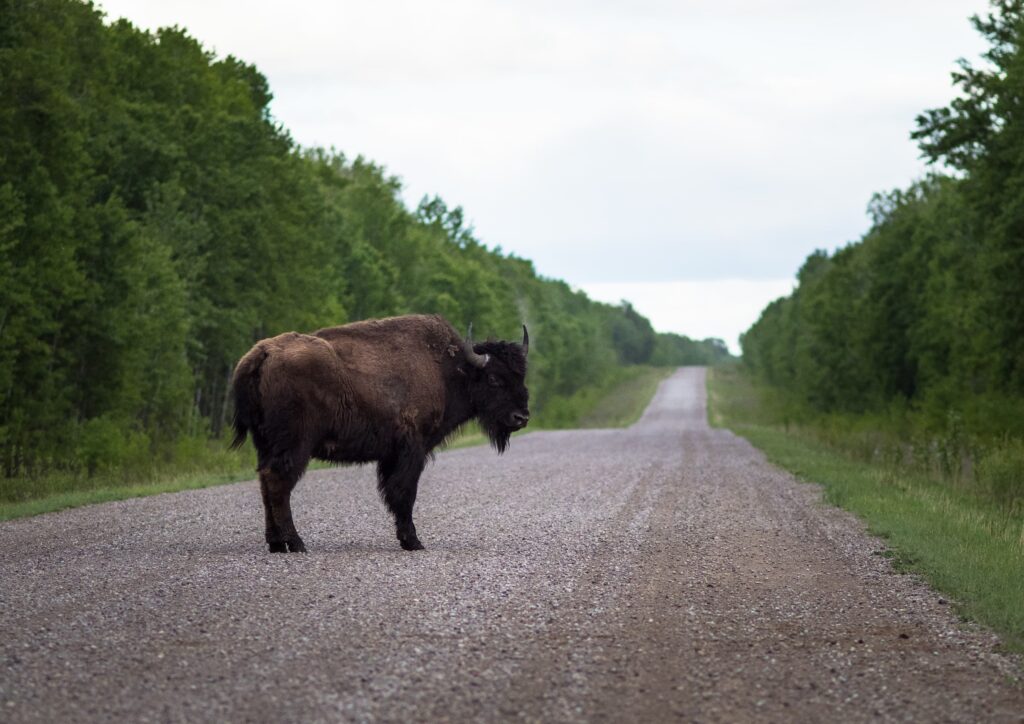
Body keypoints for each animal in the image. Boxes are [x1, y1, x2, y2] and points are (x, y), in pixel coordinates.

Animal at [229, 313, 532, 552]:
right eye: (494, 378)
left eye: (521, 376)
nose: (521, 417)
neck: (449, 371)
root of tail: (262, 353)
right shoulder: (412, 450)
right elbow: (404, 493)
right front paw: (413, 542)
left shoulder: (391, 455)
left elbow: (395, 492)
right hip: (294, 445)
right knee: (278, 482)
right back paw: (296, 543)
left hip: (265, 444)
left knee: (265, 483)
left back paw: (276, 544)